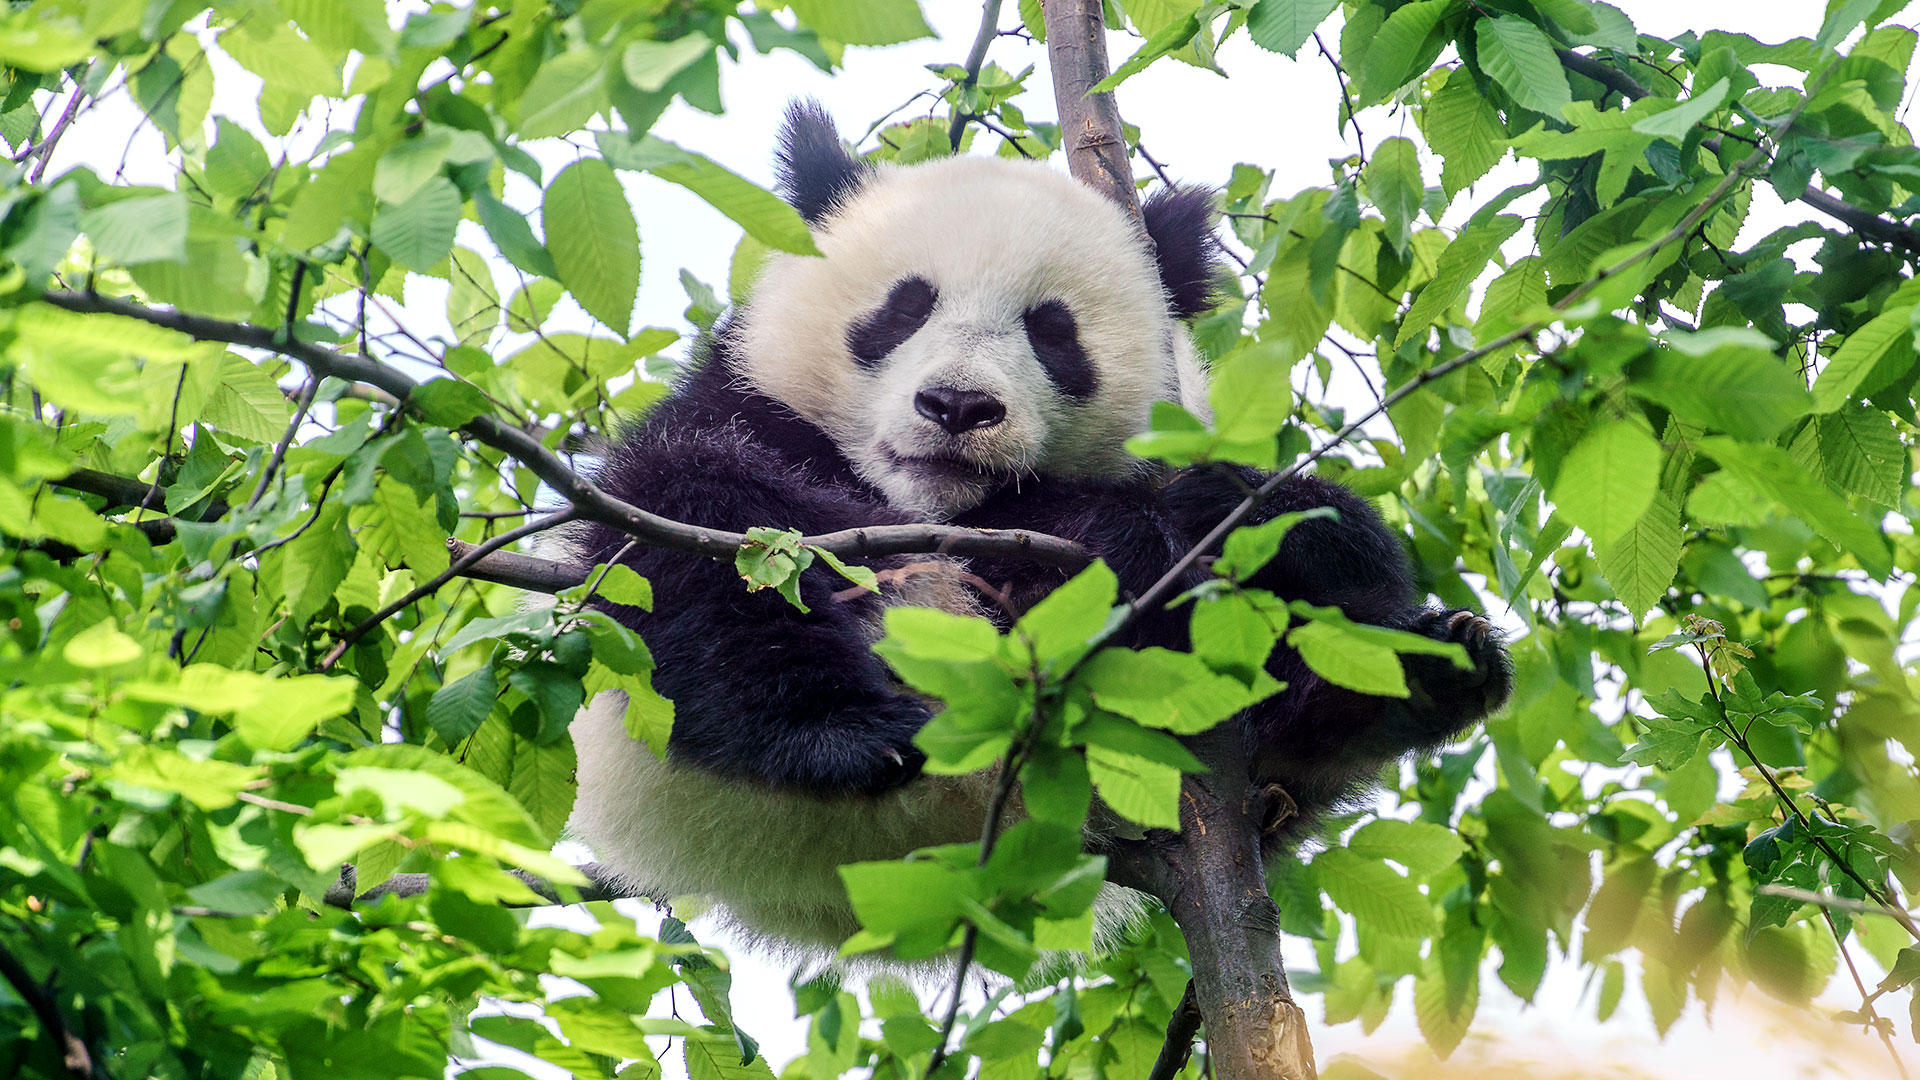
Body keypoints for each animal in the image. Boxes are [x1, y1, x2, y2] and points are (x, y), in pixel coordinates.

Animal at [563, 102, 1511, 954]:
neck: (937, 501)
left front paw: (1267, 527)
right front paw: (1114, 535)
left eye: (1054, 331)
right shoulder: (740, 407)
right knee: (719, 553)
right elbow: (689, 516)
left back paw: (1431, 672)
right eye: (905, 307)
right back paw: (845, 732)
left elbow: (1299, 534)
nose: (957, 406)